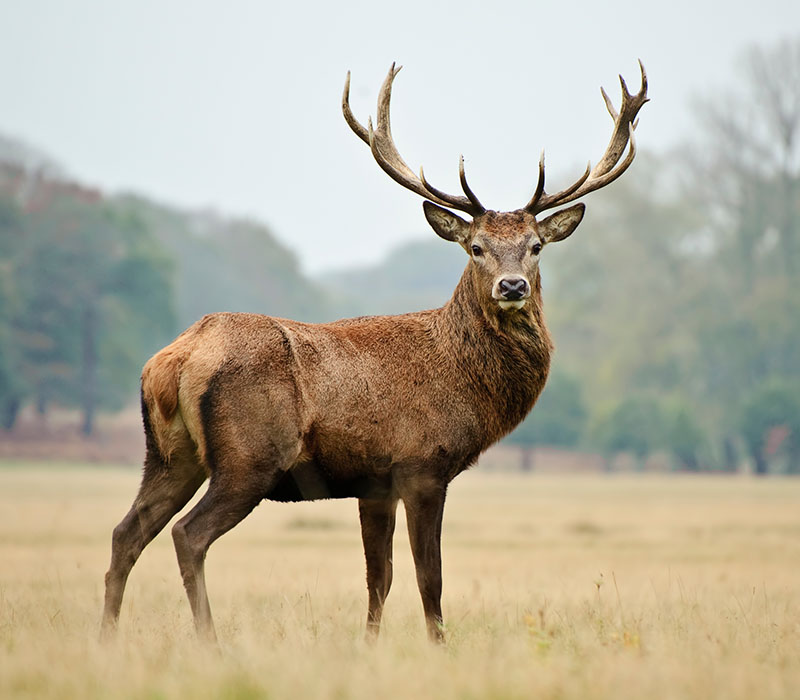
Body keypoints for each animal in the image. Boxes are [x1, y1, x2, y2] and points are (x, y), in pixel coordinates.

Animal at [101, 63, 648, 644]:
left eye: (536, 246)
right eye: (475, 247)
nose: (513, 285)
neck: (464, 381)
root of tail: (174, 360)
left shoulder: (374, 482)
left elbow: (378, 577)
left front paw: (369, 645)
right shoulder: (422, 464)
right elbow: (429, 576)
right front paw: (438, 645)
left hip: (168, 455)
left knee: (125, 533)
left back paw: (106, 637)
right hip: (249, 457)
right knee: (188, 535)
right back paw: (210, 641)